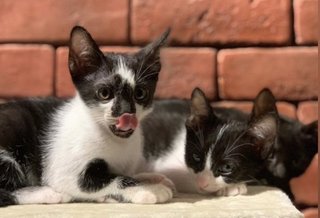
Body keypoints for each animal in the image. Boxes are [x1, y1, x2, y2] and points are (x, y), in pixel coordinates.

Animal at [0, 25, 175, 206]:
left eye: (140, 93)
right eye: (104, 93)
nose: (126, 112)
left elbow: (122, 173)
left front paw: (150, 178)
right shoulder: (66, 174)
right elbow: (112, 179)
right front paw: (148, 188)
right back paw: (48, 194)